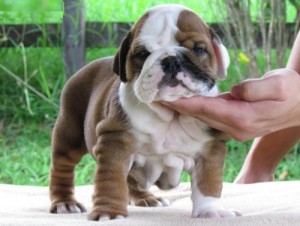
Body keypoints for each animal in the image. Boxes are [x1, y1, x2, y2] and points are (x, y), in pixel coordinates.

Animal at [49, 3, 238, 221]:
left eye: (199, 50)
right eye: (142, 54)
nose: (171, 60)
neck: (170, 115)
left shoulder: (210, 149)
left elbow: (209, 183)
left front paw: (210, 211)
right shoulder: (115, 143)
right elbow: (111, 180)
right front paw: (109, 213)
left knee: (131, 180)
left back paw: (147, 198)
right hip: (69, 132)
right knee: (62, 167)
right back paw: (65, 203)